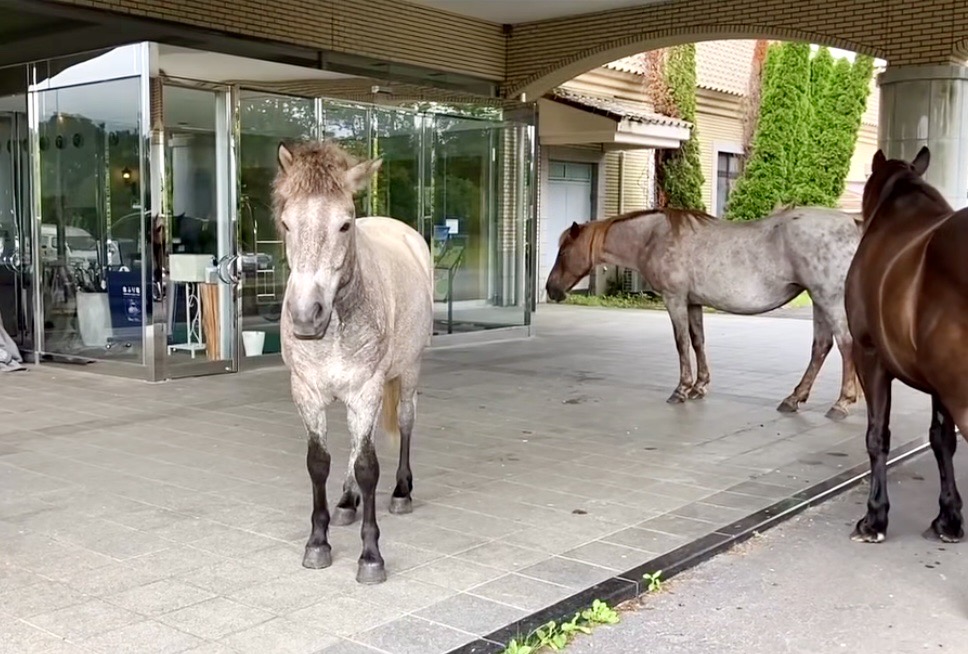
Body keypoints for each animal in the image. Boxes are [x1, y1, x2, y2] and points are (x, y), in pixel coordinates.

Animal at [274, 140, 434, 584]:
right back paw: (347, 500)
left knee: (407, 422)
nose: (305, 316)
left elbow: (367, 466)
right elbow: (319, 462)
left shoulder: (366, 389)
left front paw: (370, 556)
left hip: (410, 370)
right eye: (287, 223)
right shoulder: (307, 392)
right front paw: (317, 542)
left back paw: (401, 491)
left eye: (345, 225)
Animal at [545, 205, 862, 419]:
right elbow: (698, 341)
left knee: (845, 344)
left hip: (828, 298)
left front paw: (682, 389)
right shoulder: (693, 302)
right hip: (819, 300)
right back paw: (794, 398)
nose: (551, 289)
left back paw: (842, 402)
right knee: (821, 347)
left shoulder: (674, 299)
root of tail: (853, 224)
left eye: (564, 252)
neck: (654, 236)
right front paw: (700, 386)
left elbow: (682, 342)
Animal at [846, 146, 968, 545]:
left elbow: (877, 436)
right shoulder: (939, 384)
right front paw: (948, 518)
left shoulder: (869, 355)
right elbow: (941, 439)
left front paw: (875, 518)